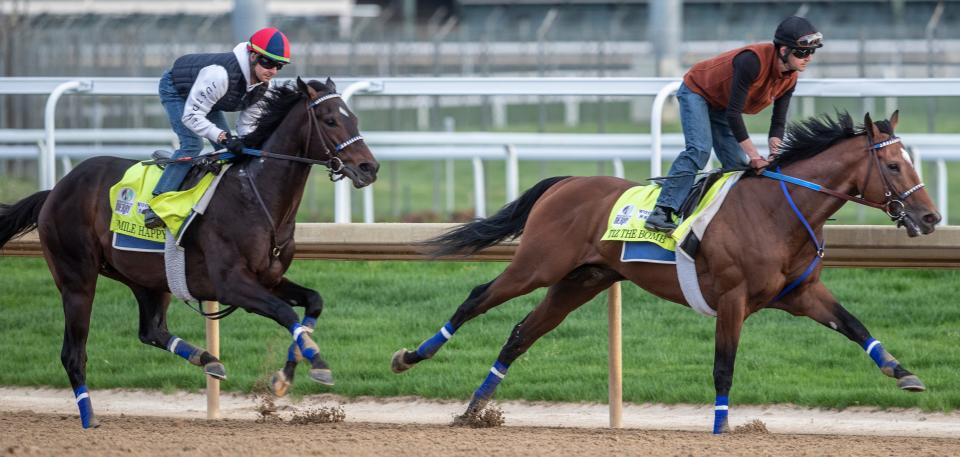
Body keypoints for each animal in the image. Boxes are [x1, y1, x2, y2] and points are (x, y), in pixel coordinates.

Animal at [0, 77, 378, 428]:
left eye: (355, 118)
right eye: (330, 120)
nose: (369, 168)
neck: (256, 196)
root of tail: (54, 190)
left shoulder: (269, 278)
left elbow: (312, 302)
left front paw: (286, 377)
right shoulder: (232, 284)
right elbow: (285, 313)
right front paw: (317, 361)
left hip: (147, 278)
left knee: (151, 330)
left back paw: (208, 359)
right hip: (77, 279)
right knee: (73, 353)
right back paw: (88, 415)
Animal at [388, 110, 936, 432]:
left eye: (910, 161)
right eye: (893, 167)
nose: (930, 218)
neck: (779, 210)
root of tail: (565, 182)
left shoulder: (802, 294)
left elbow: (856, 326)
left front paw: (903, 372)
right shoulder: (733, 298)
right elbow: (723, 364)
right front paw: (720, 427)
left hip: (582, 281)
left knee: (522, 332)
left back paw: (475, 409)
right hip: (538, 265)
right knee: (477, 297)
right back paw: (411, 357)